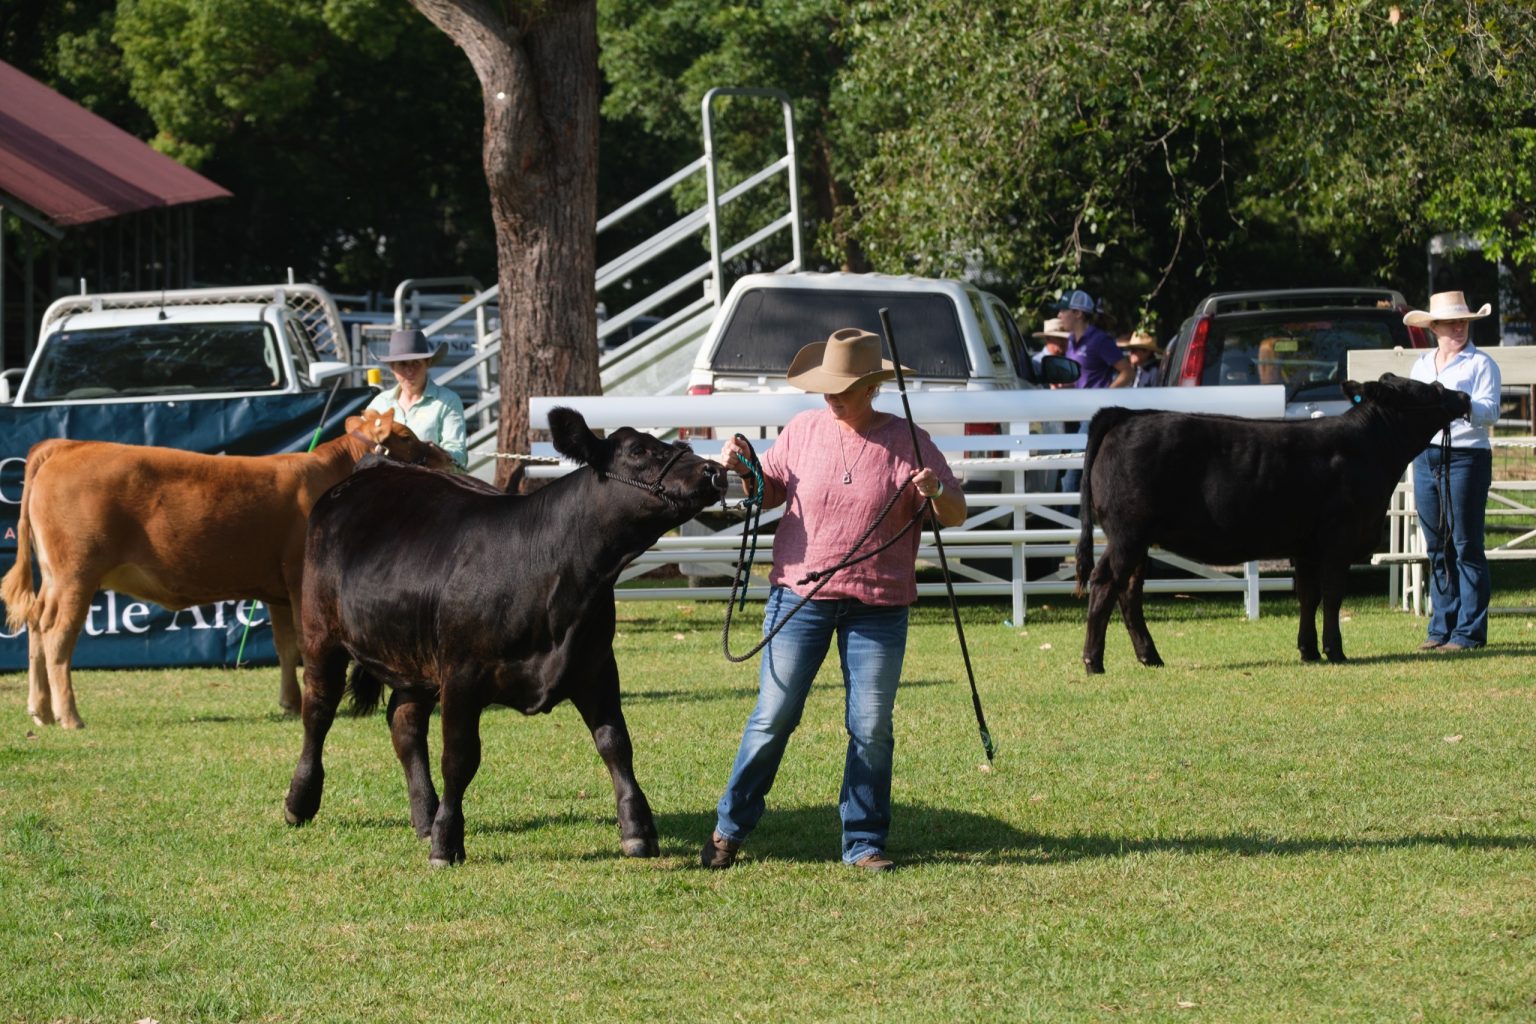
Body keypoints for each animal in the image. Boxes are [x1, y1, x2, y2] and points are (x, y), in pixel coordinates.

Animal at [1, 410, 454, 728]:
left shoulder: (279, 589)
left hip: (54, 577)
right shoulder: (299, 581)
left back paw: (40, 710)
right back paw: (69, 715)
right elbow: (305, 643)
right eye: (406, 437)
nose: (448, 455)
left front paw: (290, 703)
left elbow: (286, 646)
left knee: (36, 626)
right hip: (75, 574)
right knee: (58, 635)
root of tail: (68, 445)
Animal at [283, 407, 729, 866]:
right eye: (638, 450)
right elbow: (460, 757)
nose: (714, 470)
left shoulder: (597, 666)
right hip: (321, 635)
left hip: (413, 655)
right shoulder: (461, 674)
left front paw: (637, 829)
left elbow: (616, 744)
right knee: (318, 711)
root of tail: (374, 467)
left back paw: (424, 815)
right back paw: (301, 801)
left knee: (404, 724)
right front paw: (447, 841)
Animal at [1075, 375, 1472, 673]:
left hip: (1138, 539)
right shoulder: (1337, 540)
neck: (1367, 448)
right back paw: (1094, 661)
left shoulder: (1307, 546)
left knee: (1129, 591)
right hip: (1127, 534)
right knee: (1105, 582)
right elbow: (1332, 595)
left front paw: (1308, 650)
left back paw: (1150, 657)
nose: (1464, 396)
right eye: (1430, 389)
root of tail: (1127, 414)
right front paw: (1335, 650)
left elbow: (1308, 596)